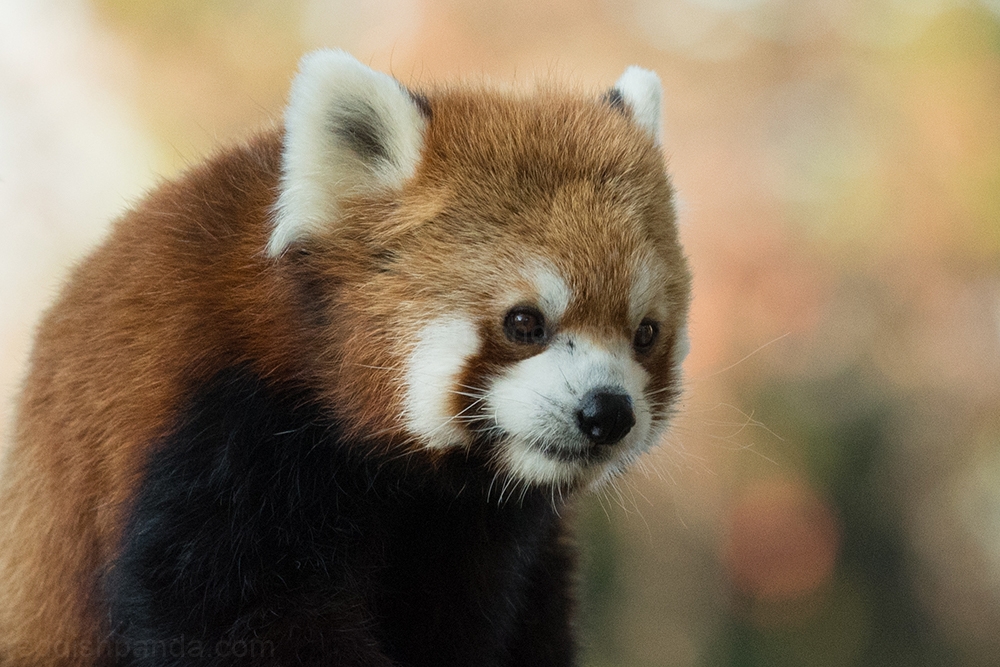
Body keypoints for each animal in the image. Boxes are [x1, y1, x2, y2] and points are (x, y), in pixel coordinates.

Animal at [0, 49, 688, 664]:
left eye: (645, 334)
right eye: (525, 323)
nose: (608, 413)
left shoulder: (478, 540)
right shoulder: (219, 432)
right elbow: (233, 612)